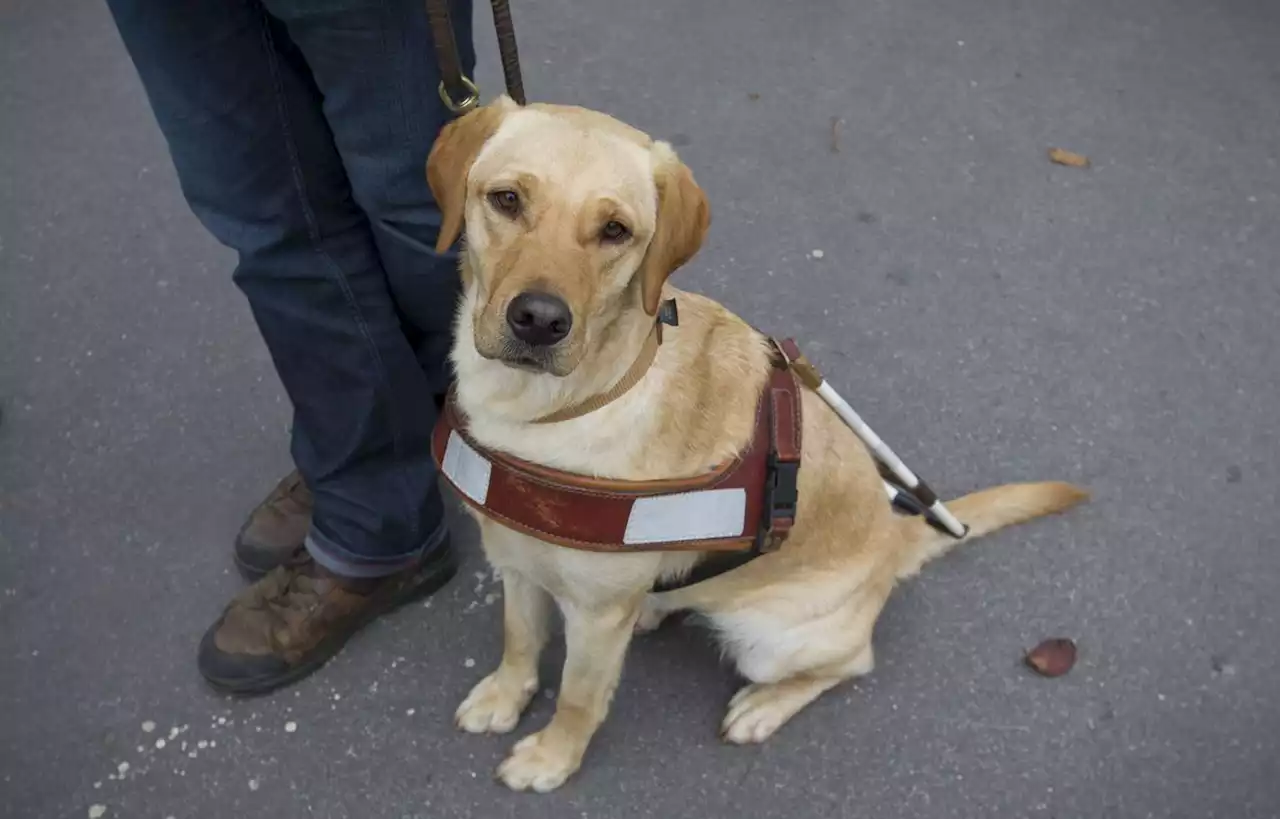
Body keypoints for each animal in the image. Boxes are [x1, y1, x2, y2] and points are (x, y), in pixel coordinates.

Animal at [424, 95, 1085, 793]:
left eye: (615, 231)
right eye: (506, 199)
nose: (540, 321)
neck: (546, 410)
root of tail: (891, 540)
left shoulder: (598, 615)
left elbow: (578, 696)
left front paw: (552, 757)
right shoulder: (514, 561)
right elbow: (519, 640)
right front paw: (505, 697)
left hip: (770, 640)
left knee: (852, 662)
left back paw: (763, 707)